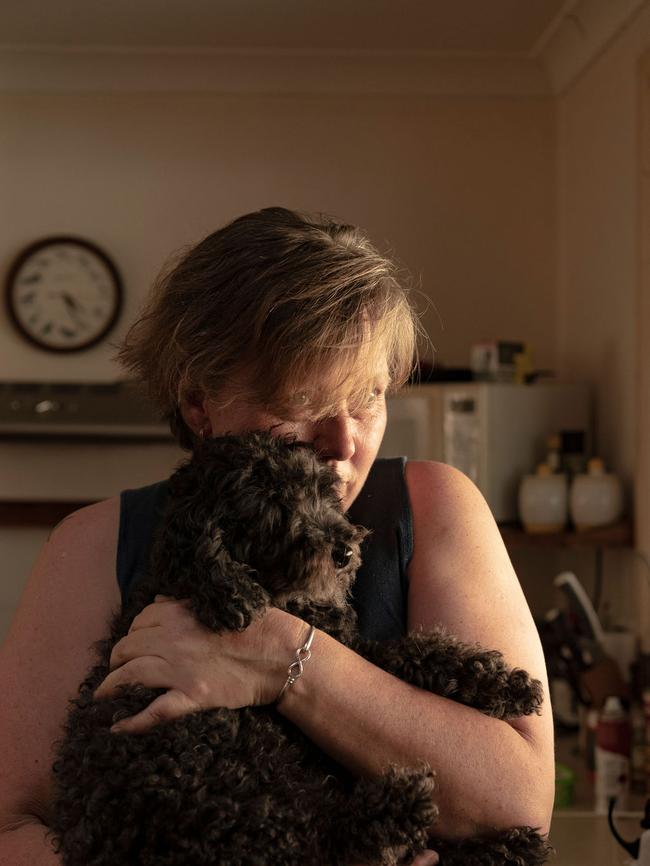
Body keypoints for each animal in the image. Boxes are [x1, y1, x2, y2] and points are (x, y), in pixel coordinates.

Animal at [50, 432, 548, 864]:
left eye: (322, 490)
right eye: (268, 501)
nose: (344, 549)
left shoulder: (352, 648)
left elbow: (416, 653)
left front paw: (504, 683)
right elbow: (406, 651)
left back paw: (507, 845)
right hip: (233, 789)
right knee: (328, 847)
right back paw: (407, 807)